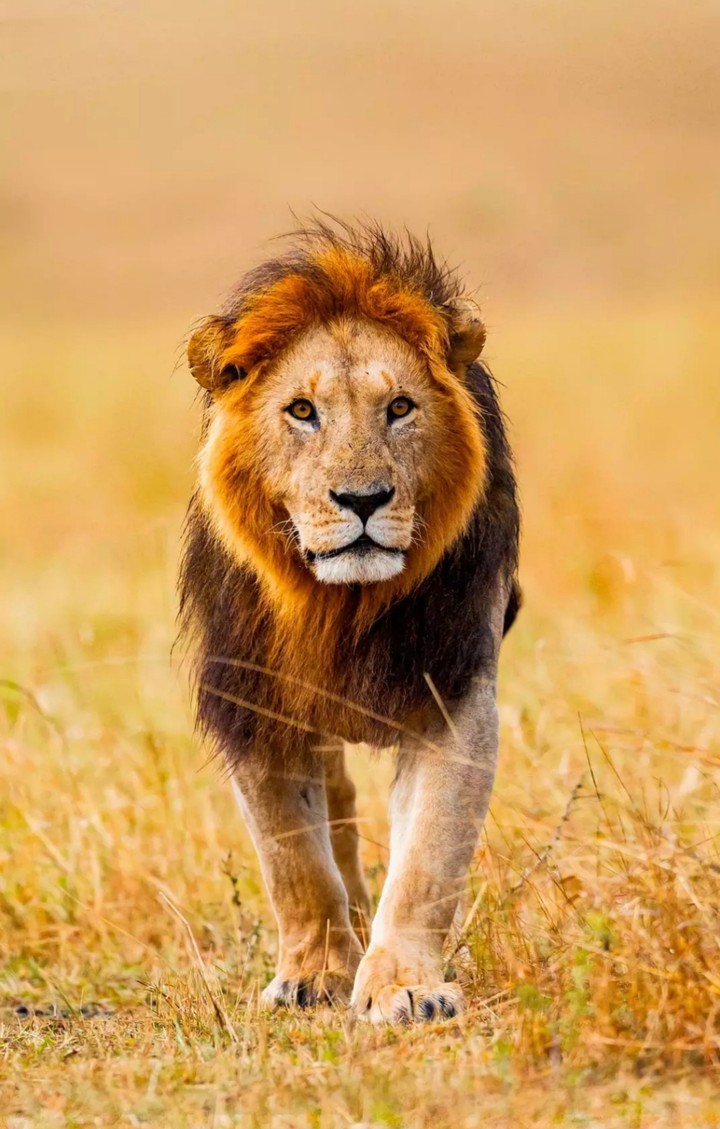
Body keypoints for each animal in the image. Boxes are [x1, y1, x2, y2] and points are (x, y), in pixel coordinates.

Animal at [178, 219, 520, 1024]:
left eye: (399, 407)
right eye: (302, 411)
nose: (362, 498)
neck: (341, 605)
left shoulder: (453, 695)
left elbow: (427, 859)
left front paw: (405, 985)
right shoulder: (253, 703)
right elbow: (293, 859)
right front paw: (314, 974)